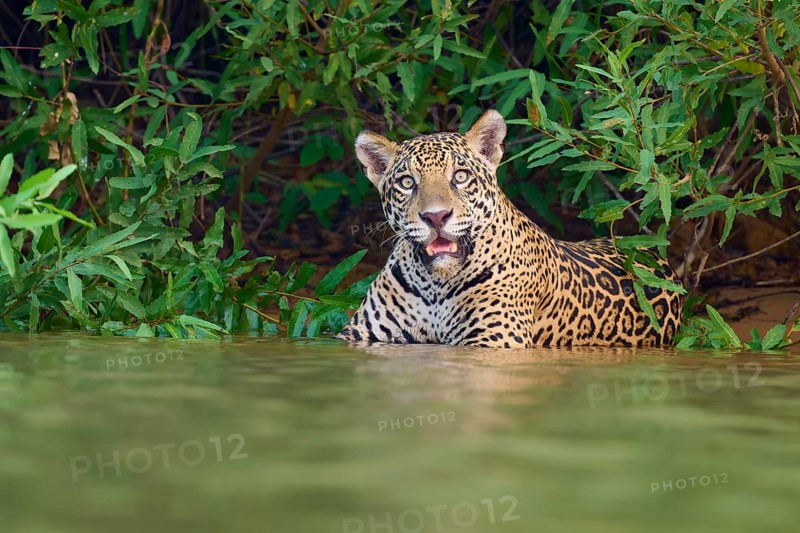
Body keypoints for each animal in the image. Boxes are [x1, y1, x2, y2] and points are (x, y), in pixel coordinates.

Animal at [336, 109, 683, 348]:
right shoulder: (358, 335)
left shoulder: (494, 340)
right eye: (407, 183)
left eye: (460, 176)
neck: (435, 284)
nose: (436, 217)